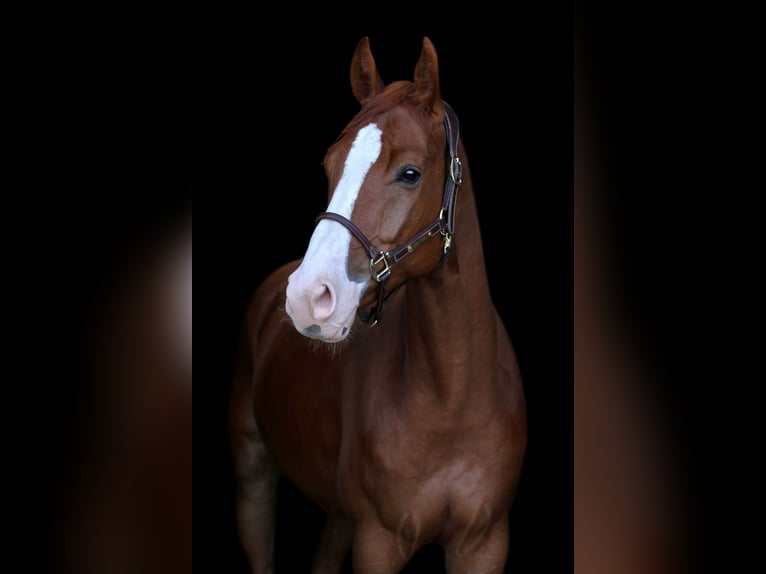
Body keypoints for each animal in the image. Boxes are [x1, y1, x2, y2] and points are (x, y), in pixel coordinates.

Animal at [229, 36, 527, 573]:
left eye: (409, 173)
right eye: (328, 164)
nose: (308, 296)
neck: (452, 401)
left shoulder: (485, 543)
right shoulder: (377, 541)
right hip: (254, 475)